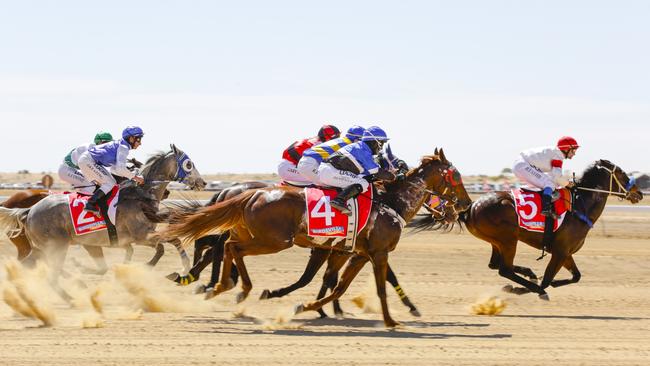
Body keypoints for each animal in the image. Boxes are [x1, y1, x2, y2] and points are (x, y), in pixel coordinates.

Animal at [159, 149, 468, 326]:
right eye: (455, 176)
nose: (462, 206)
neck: (390, 202)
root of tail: (251, 193)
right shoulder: (377, 253)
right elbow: (380, 285)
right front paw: (394, 319)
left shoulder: (354, 253)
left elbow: (337, 286)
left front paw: (309, 307)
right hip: (274, 240)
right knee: (229, 248)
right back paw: (229, 286)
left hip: (250, 233)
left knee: (224, 246)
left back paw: (219, 286)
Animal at [412, 160, 640, 300]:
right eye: (621, 172)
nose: (638, 193)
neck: (580, 207)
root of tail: (470, 207)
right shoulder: (560, 252)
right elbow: (547, 279)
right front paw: (534, 289)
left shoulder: (566, 253)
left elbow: (576, 276)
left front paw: (545, 283)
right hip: (508, 239)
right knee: (504, 269)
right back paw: (525, 284)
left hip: (497, 241)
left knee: (496, 265)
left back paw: (528, 274)